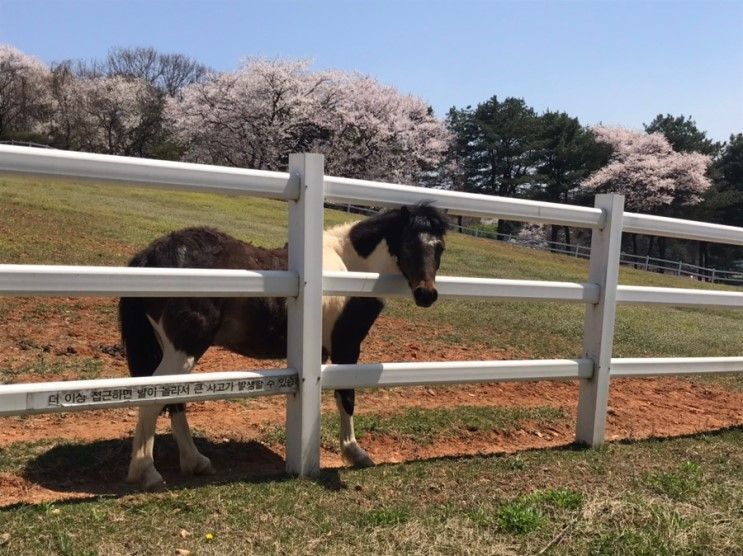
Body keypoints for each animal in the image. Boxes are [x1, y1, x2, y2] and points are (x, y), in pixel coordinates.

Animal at [120, 202, 448, 488]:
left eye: (440, 247)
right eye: (407, 243)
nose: (427, 294)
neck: (347, 267)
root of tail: (149, 256)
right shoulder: (346, 348)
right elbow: (346, 396)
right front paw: (355, 453)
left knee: (174, 399)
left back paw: (194, 461)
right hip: (183, 351)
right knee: (155, 397)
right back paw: (147, 471)